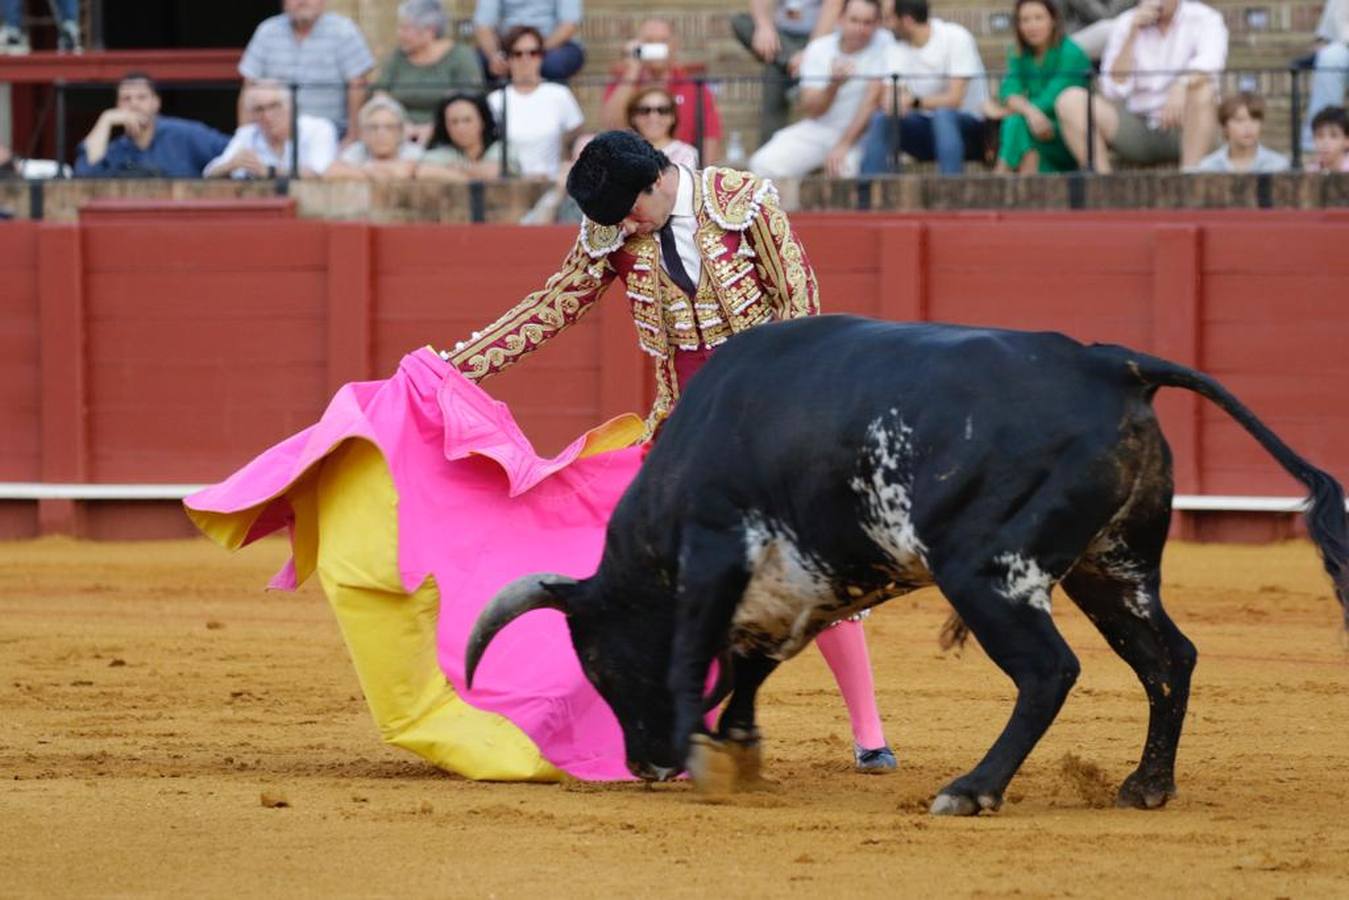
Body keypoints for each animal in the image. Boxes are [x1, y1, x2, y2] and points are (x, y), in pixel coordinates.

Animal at [466, 318, 1349, 814]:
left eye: (600, 663)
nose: (641, 763)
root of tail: (1109, 364)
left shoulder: (717, 550)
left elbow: (694, 656)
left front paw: (701, 750)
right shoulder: (806, 577)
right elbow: (751, 663)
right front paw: (738, 746)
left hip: (987, 569)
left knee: (1050, 670)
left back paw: (971, 789)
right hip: (1112, 566)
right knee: (1169, 660)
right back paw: (1145, 786)